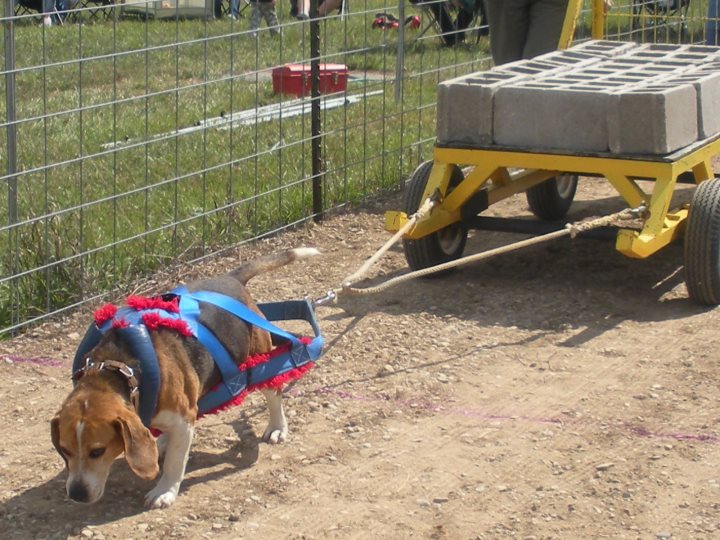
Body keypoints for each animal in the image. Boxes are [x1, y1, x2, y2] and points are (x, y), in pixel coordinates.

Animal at [50, 247, 318, 508]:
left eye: (98, 451)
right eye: (64, 450)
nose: (76, 494)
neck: (117, 367)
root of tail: (231, 279)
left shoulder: (182, 418)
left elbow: (175, 463)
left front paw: (165, 492)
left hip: (260, 360)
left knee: (274, 395)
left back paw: (277, 427)